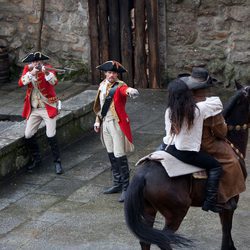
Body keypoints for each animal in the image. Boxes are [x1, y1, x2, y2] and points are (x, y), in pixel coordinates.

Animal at [124, 82, 249, 250]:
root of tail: (142, 176)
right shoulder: (231, 200)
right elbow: (226, 228)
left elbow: (225, 227)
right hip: (176, 213)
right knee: (164, 239)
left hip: (149, 210)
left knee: (147, 240)